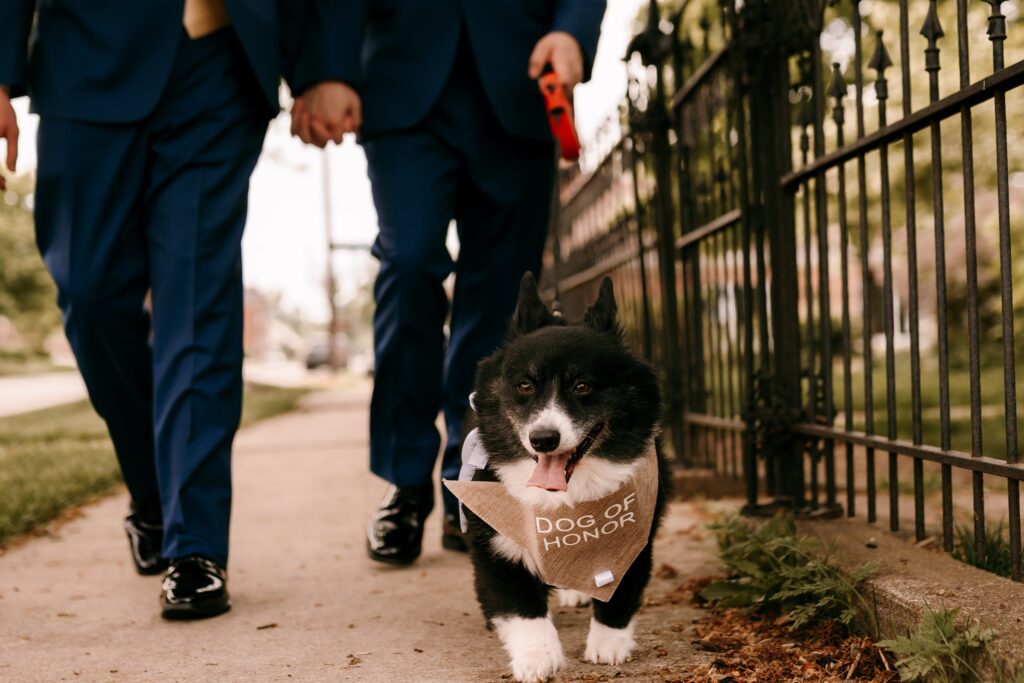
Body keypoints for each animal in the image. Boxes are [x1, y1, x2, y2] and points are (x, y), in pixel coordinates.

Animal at [464, 274, 671, 679]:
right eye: (525, 386)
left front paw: (608, 645)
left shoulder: (637, 540)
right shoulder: (495, 543)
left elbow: (619, 593)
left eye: (583, 386)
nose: (543, 439)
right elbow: (521, 609)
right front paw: (537, 658)